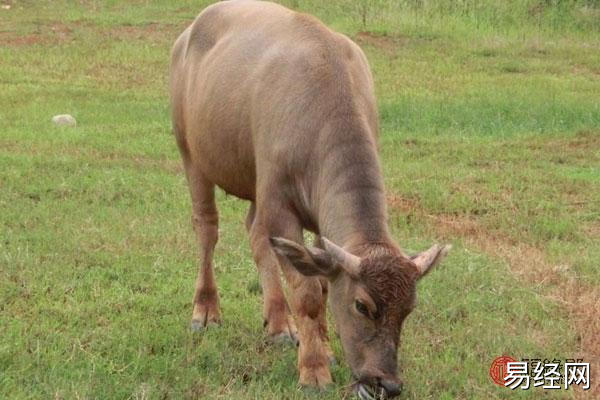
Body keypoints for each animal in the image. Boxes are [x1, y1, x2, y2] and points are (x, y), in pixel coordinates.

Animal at [169, 0, 450, 396]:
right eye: (362, 306)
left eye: (408, 309)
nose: (386, 383)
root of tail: (189, 33)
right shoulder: (280, 206)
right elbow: (308, 293)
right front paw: (314, 369)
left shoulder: (316, 218)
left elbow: (321, 281)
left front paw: (323, 347)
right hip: (191, 153)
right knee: (207, 228)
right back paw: (206, 312)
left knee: (255, 233)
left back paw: (279, 323)